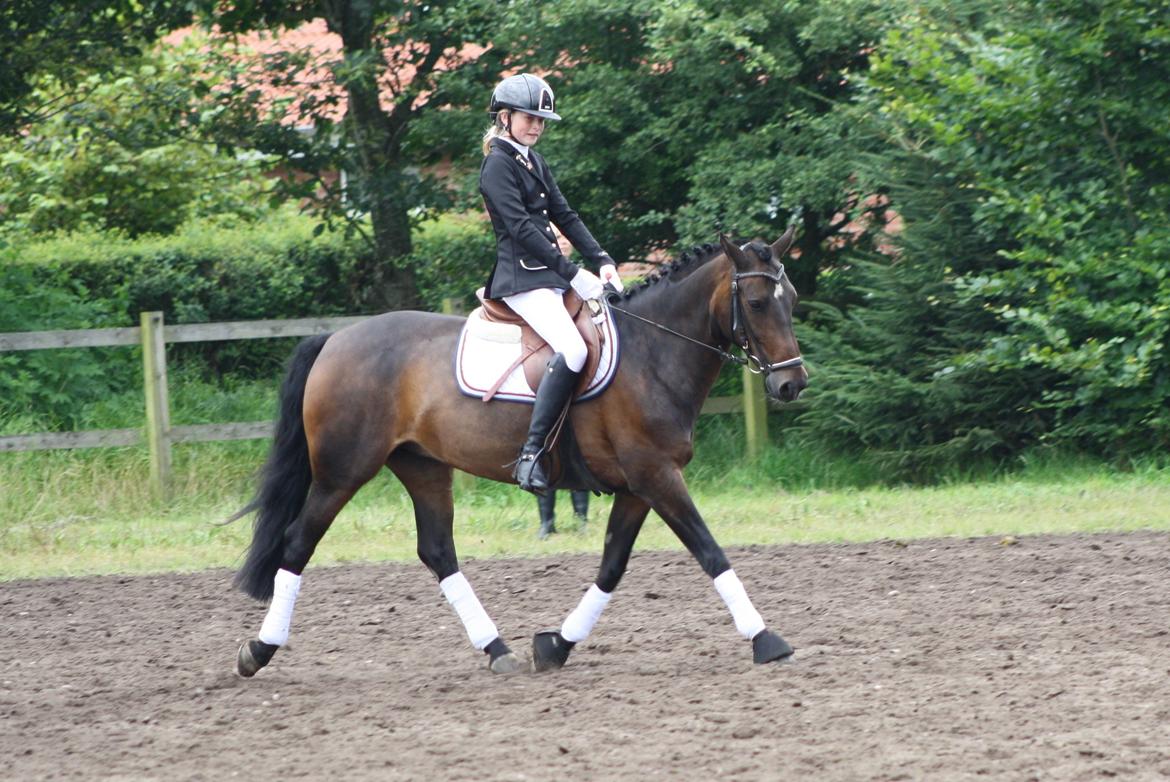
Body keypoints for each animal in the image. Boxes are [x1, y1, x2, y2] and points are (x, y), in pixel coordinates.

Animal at [232, 230, 808, 677]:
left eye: (793, 300)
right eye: (758, 303)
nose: (792, 384)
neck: (651, 353)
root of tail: (335, 339)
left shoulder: (638, 486)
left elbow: (612, 566)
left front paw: (556, 644)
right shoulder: (656, 476)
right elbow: (710, 552)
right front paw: (767, 640)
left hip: (422, 467)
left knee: (437, 551)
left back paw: (497, 650)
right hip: (342, 472)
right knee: (297, 543)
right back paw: (258, 651)